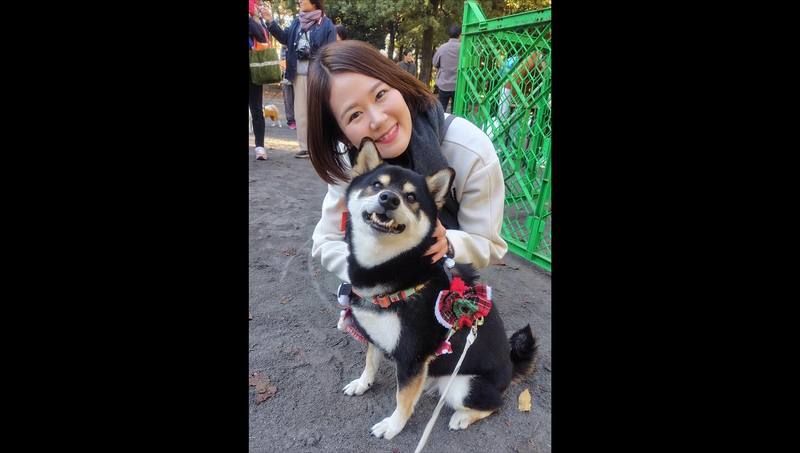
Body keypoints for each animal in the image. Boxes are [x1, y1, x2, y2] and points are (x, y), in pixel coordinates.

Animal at [339, 138, 537, 440]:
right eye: (376, 184)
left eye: (411, 197)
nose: (389, 198)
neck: (388, 268)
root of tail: (510, 368)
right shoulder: (374, 335)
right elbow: (370, 363)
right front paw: (362, 384)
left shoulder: (412, 356)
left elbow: (403, 398)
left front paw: (392, 426)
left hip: (461, 386)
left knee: (495, 404)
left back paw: (462, 417)